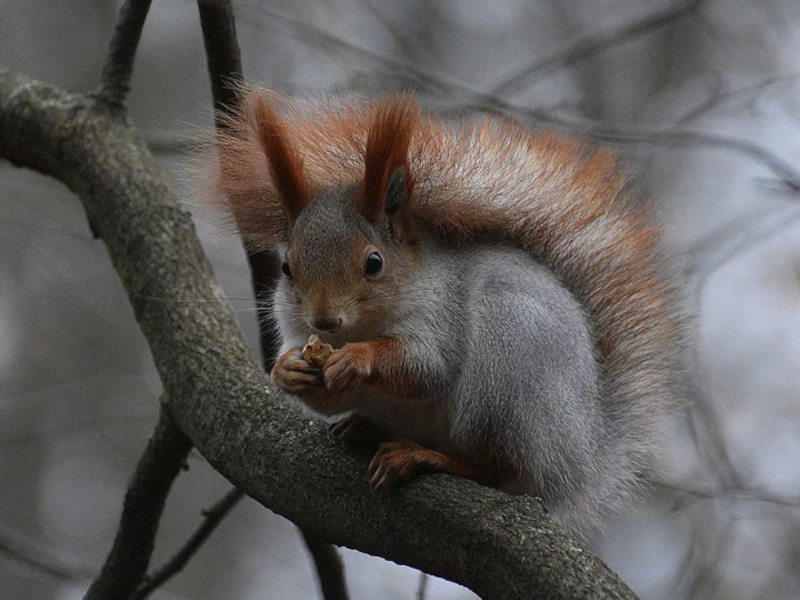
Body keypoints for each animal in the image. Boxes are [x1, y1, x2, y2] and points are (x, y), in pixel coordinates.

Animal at [206, 89, 680, 540]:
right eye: (287, 268)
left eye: (374, 262)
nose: (324, 320)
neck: (361, 327)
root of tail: (581, 458)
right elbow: (323, 393)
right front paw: (286, 370)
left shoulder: (441, 316)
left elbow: (426, 367)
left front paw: (358, 358)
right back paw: (364, 428)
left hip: (503, 374)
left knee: (499, 470)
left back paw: (421, 455)